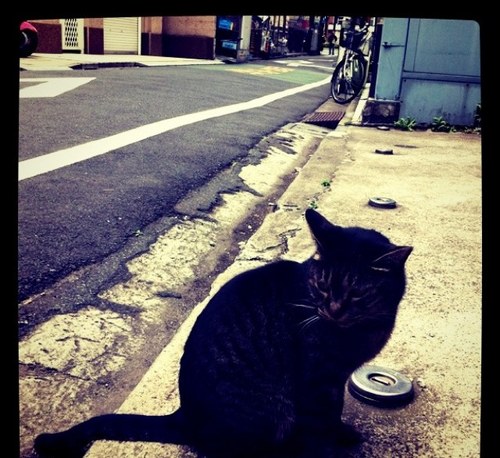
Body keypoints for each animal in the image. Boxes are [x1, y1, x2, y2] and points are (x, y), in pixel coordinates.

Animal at [33, 208, 412, 458]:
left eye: (356, 293)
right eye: (321, 285)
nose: (331, 310)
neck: (367, 326)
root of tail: (185, 416)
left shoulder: (336, 379)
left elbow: (335, 413)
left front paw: (343, 432)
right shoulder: (317, 381)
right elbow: (322, 422)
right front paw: (329, 445)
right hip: (269, 414)